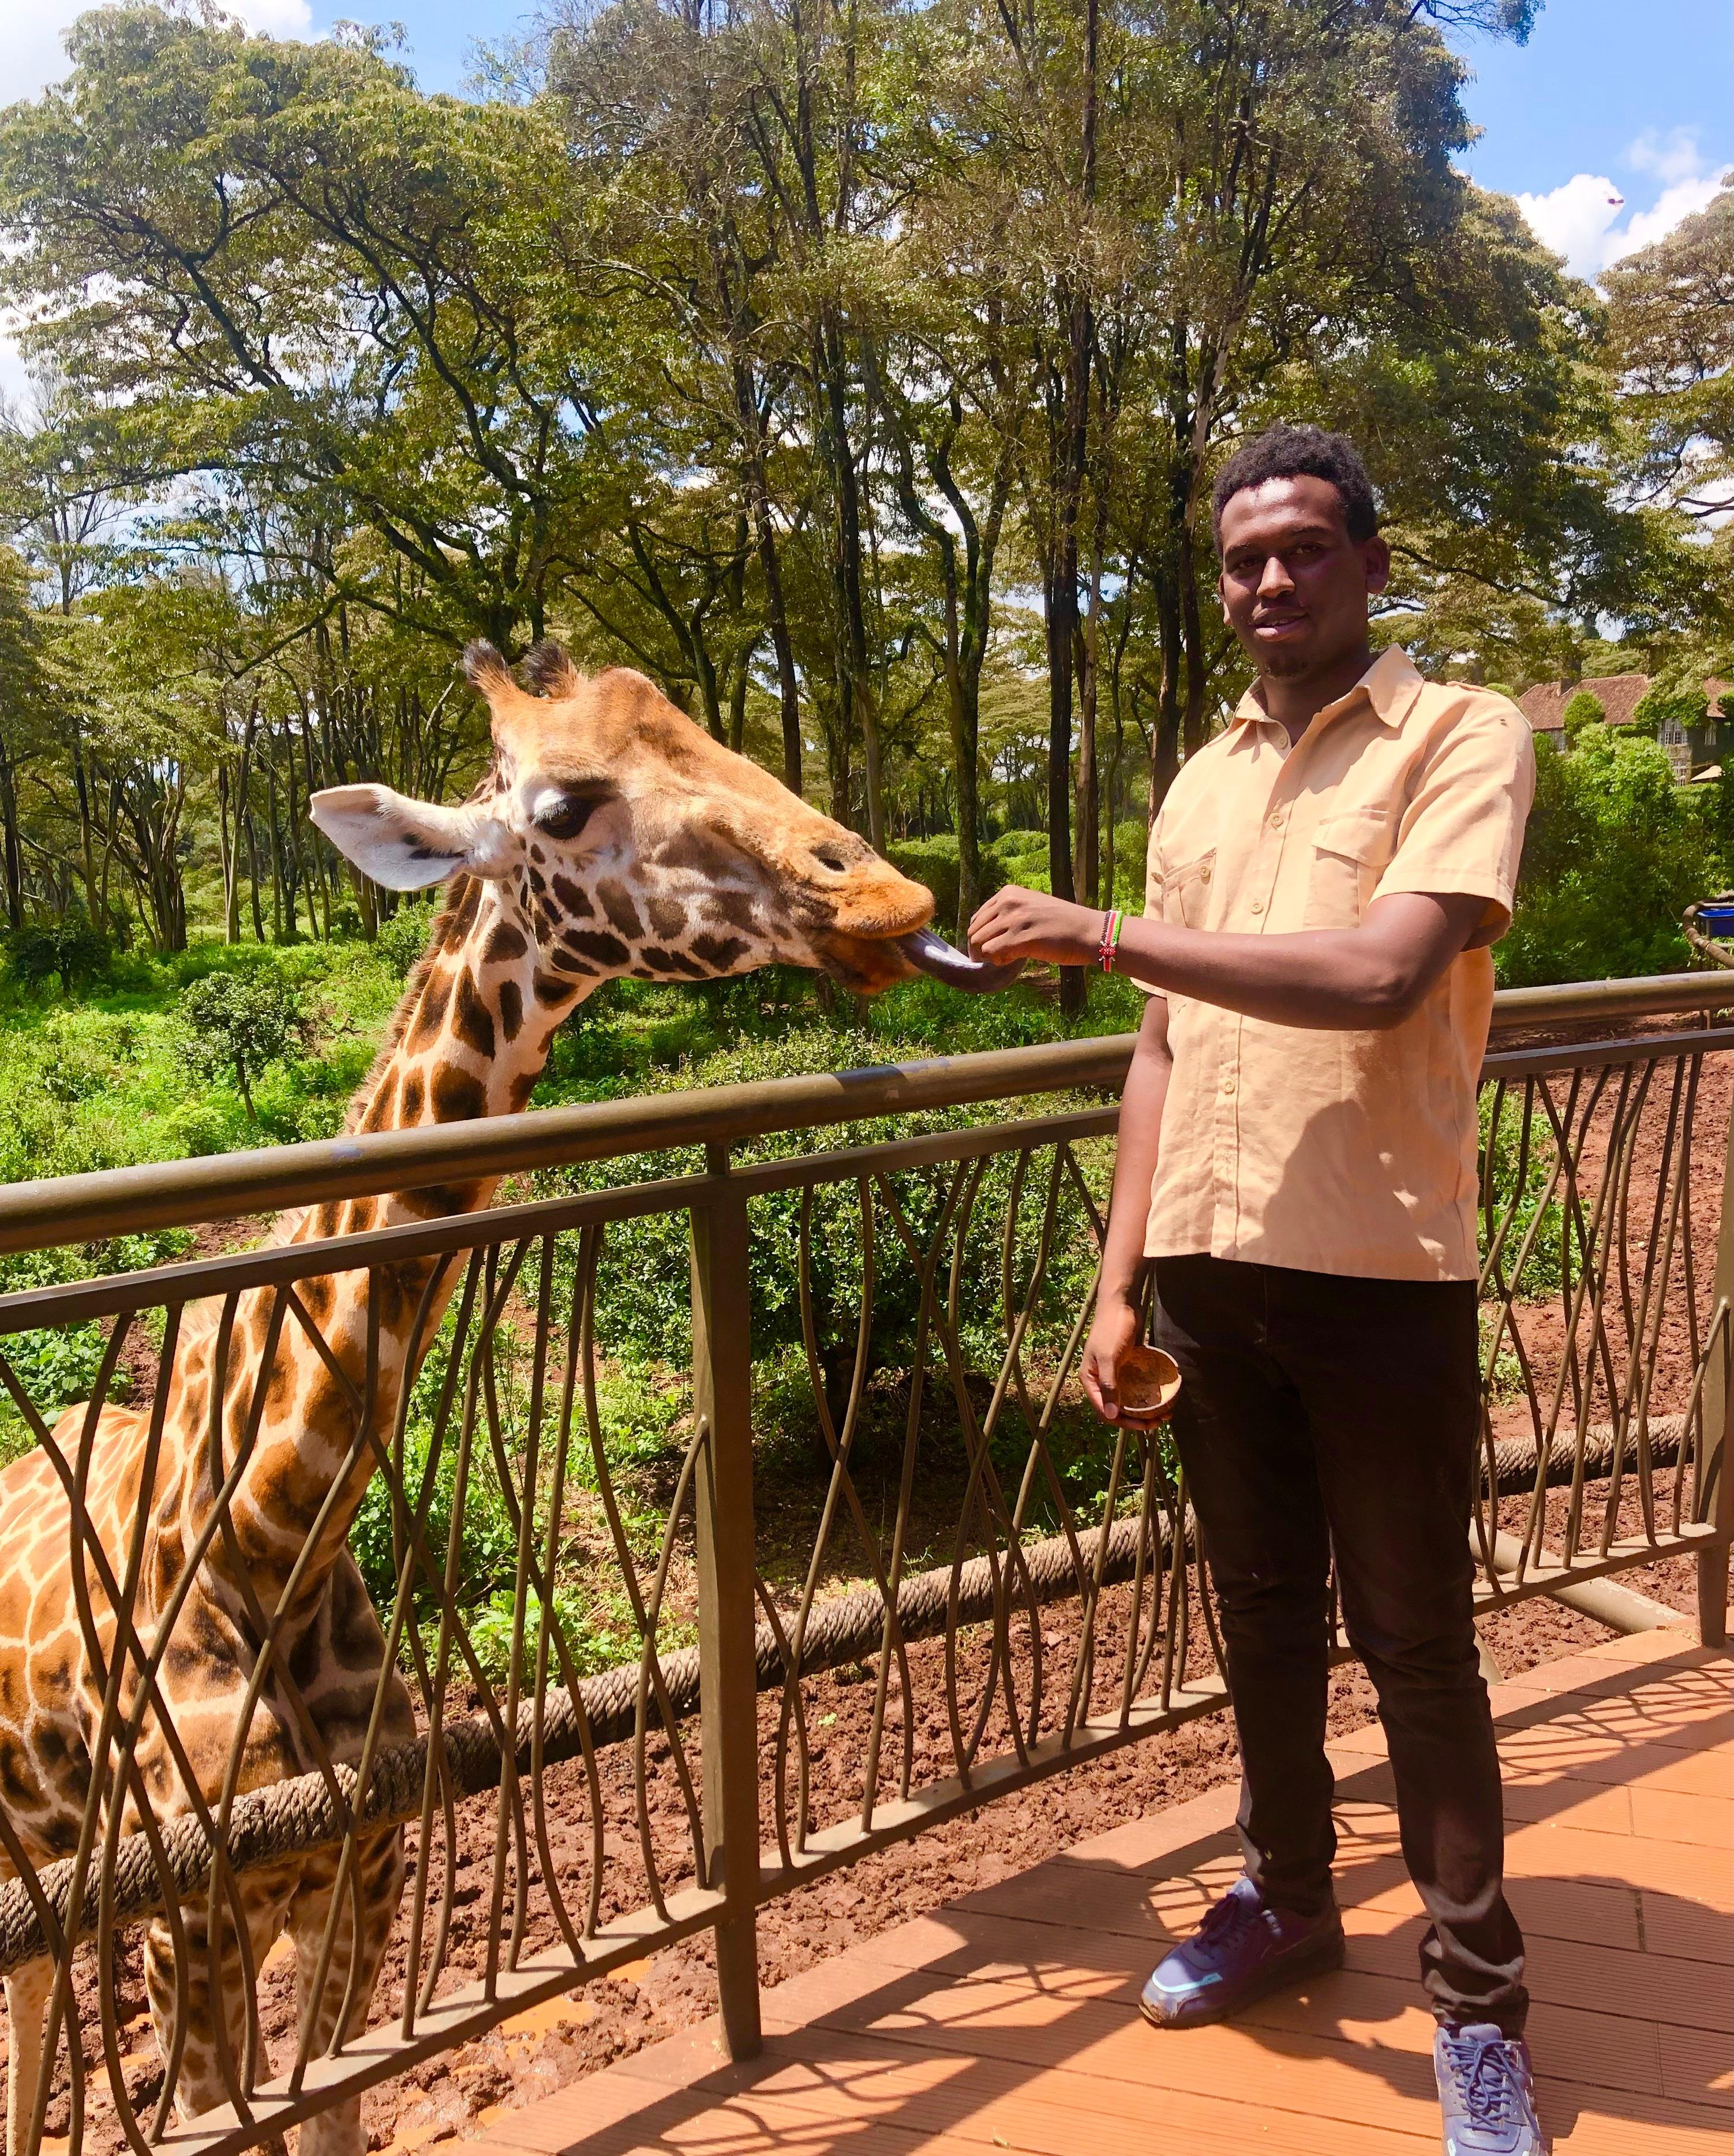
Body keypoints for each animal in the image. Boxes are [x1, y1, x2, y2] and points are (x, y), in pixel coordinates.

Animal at [0, 640, 995, 2156]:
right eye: (563, 804)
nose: (887, 895)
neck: (270, 1535)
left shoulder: (363, 1875)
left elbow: (331, 2112)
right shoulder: (192, 1921)